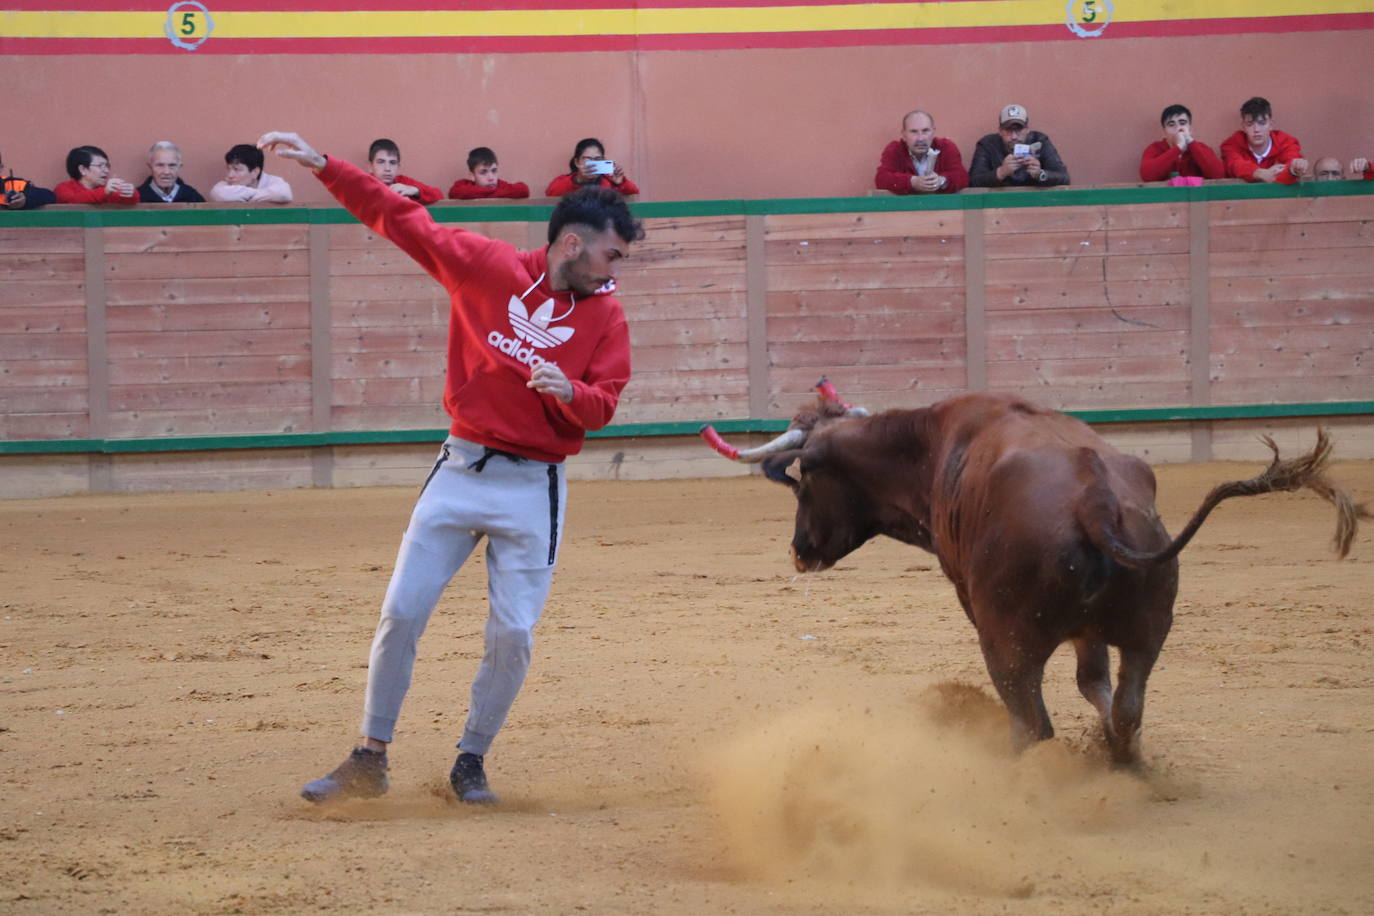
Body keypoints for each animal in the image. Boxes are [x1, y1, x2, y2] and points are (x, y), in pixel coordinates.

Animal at [703, 387, 1368, 769]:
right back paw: (1124, 761)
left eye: (804, 480)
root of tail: (1095, 500)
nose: (799, 551)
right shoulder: (1095, 632)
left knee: (1032, 721)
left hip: (1008, 641)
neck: (930, 445)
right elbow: (1094, 681)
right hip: (1149, 631)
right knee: (1126, 706)